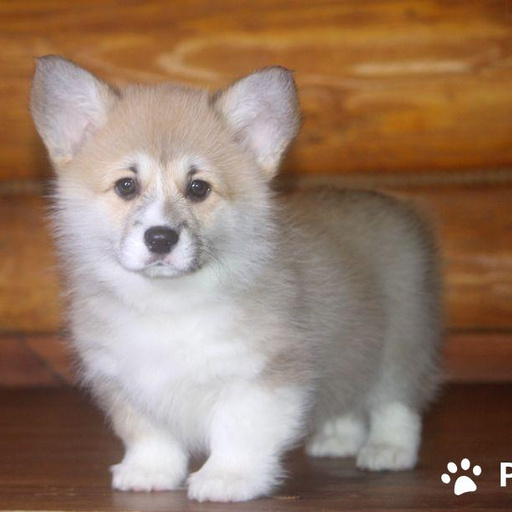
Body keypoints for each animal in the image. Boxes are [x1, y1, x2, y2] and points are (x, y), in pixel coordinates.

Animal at [31, 56, 441, 502]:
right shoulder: (126, 381)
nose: (160, 238)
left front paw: (227, 479)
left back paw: (388, 450)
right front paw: (149, 472)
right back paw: (338, 439)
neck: (167, 302)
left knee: (397, 404)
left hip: (401, 344)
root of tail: (399, 209)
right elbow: (149, 434)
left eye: (198, 188)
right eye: (126, 185)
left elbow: (238, 433)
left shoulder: (261, 376)